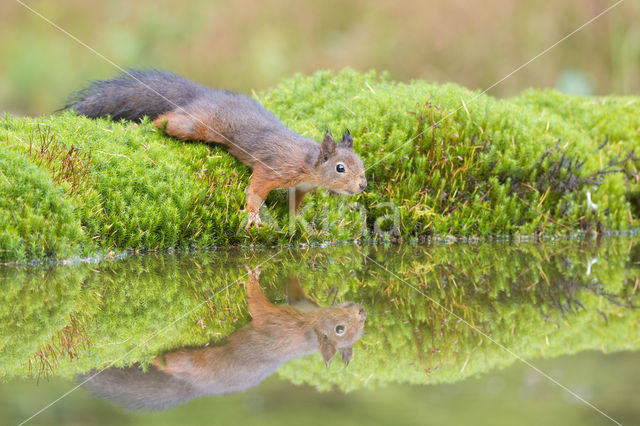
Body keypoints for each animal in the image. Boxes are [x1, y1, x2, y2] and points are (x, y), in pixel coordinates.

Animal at [65, 70, 368, 228]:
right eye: (340, 168)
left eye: (362, 164)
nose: (363, 185)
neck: (308, 164)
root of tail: (205, 95)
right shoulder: (274, 167)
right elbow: (256, 189)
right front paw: (253, 215)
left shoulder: (301, 187)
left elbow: (295, 204)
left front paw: (299, 222)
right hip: (195, 124)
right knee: (167, 119)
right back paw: (145, 126)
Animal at [80, 268, 368, 412]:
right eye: (341, 328)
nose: (363, 312)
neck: (309, 326)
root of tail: (199, 389)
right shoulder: (299, 304)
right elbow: (295, 290)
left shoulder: (278, 324)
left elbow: (258, 306)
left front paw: (252, 277)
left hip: (195, 364)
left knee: (175, 362)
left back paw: (154, 357)